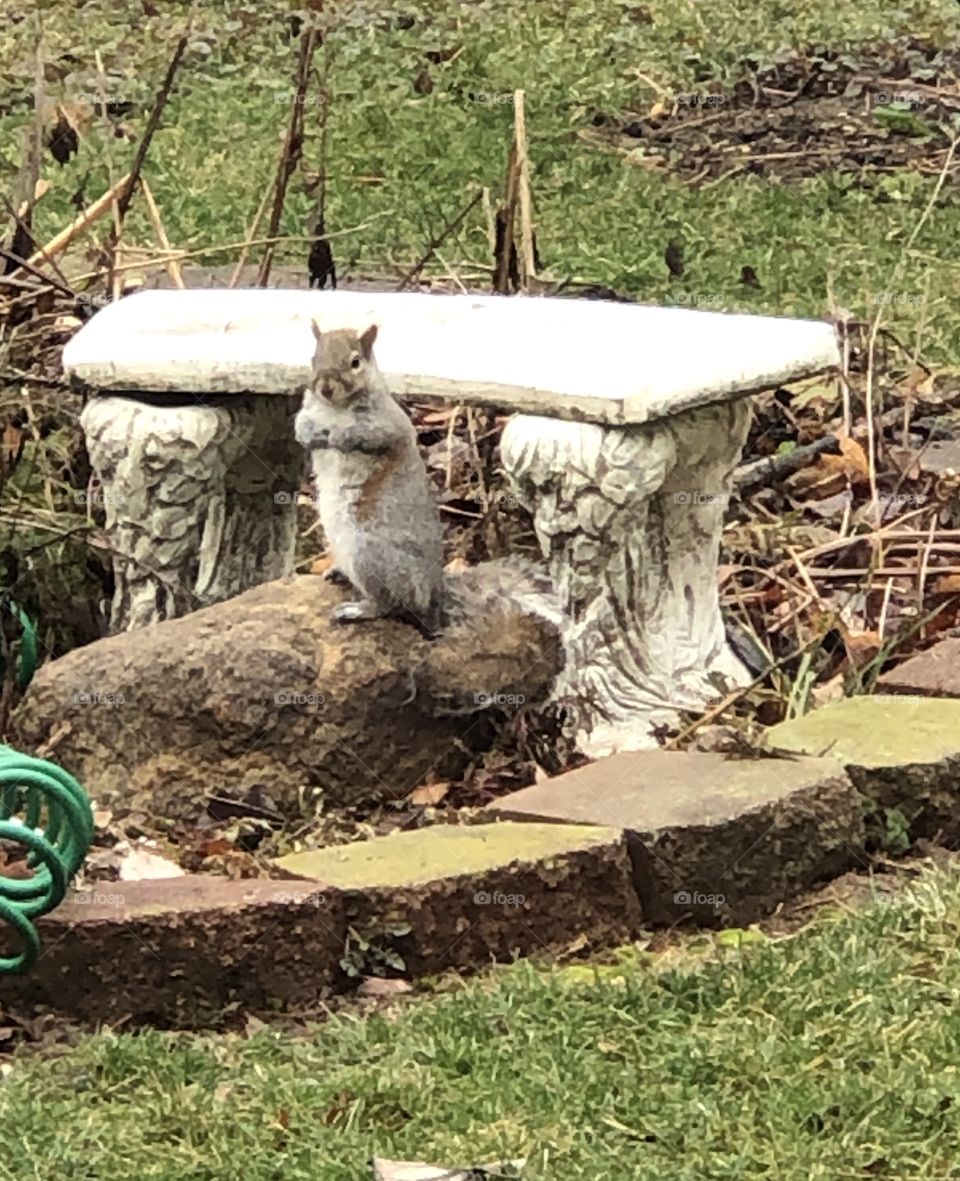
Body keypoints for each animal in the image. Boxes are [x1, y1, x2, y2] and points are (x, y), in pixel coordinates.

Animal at [295, 319, 561, 641]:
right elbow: (301, 423)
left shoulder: (391, 424)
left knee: (392, 605)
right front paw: (307, 434)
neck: (333, 409)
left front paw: (338, 435)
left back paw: (360, 609)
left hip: (369, 554)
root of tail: (436, 597)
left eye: (355, 362)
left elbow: (369, 435)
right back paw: (338, 572)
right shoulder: (310, 409)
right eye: (313, 358)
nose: (325, 388)